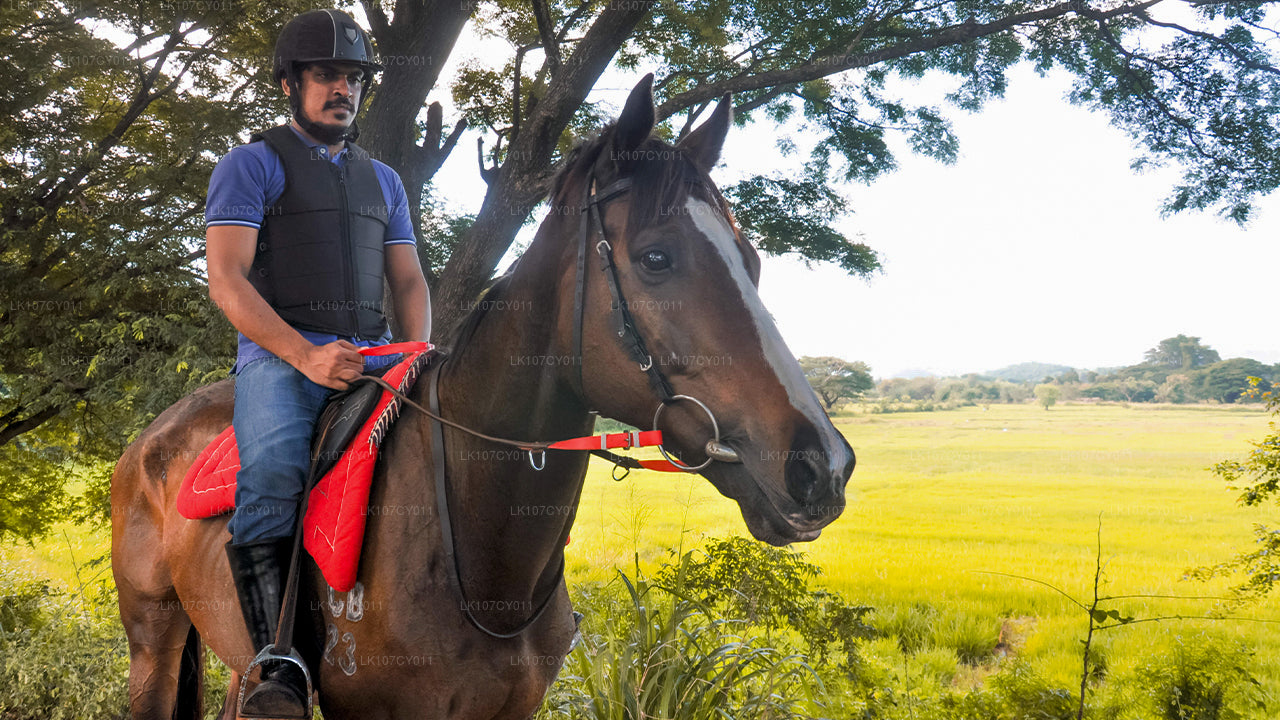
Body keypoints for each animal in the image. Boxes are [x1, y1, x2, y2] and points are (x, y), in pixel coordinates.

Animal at [110, 75, 849, 712]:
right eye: (656, 258)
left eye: (751, 261)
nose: (822, 466)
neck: (480, 550)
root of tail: (149, 441)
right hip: (153, 642)